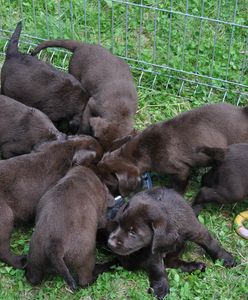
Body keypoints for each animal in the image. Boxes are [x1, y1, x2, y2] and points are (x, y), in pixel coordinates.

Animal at [108, 189, 236, 298]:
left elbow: (211, 244)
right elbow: (157, 269)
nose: (110, 243)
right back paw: (194, 267)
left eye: (133, 232)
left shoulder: (195, 229)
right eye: (118, 224)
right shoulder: (153, 251)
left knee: (172, 262)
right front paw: (161, 287)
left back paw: (194, 267)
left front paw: (225, 258)